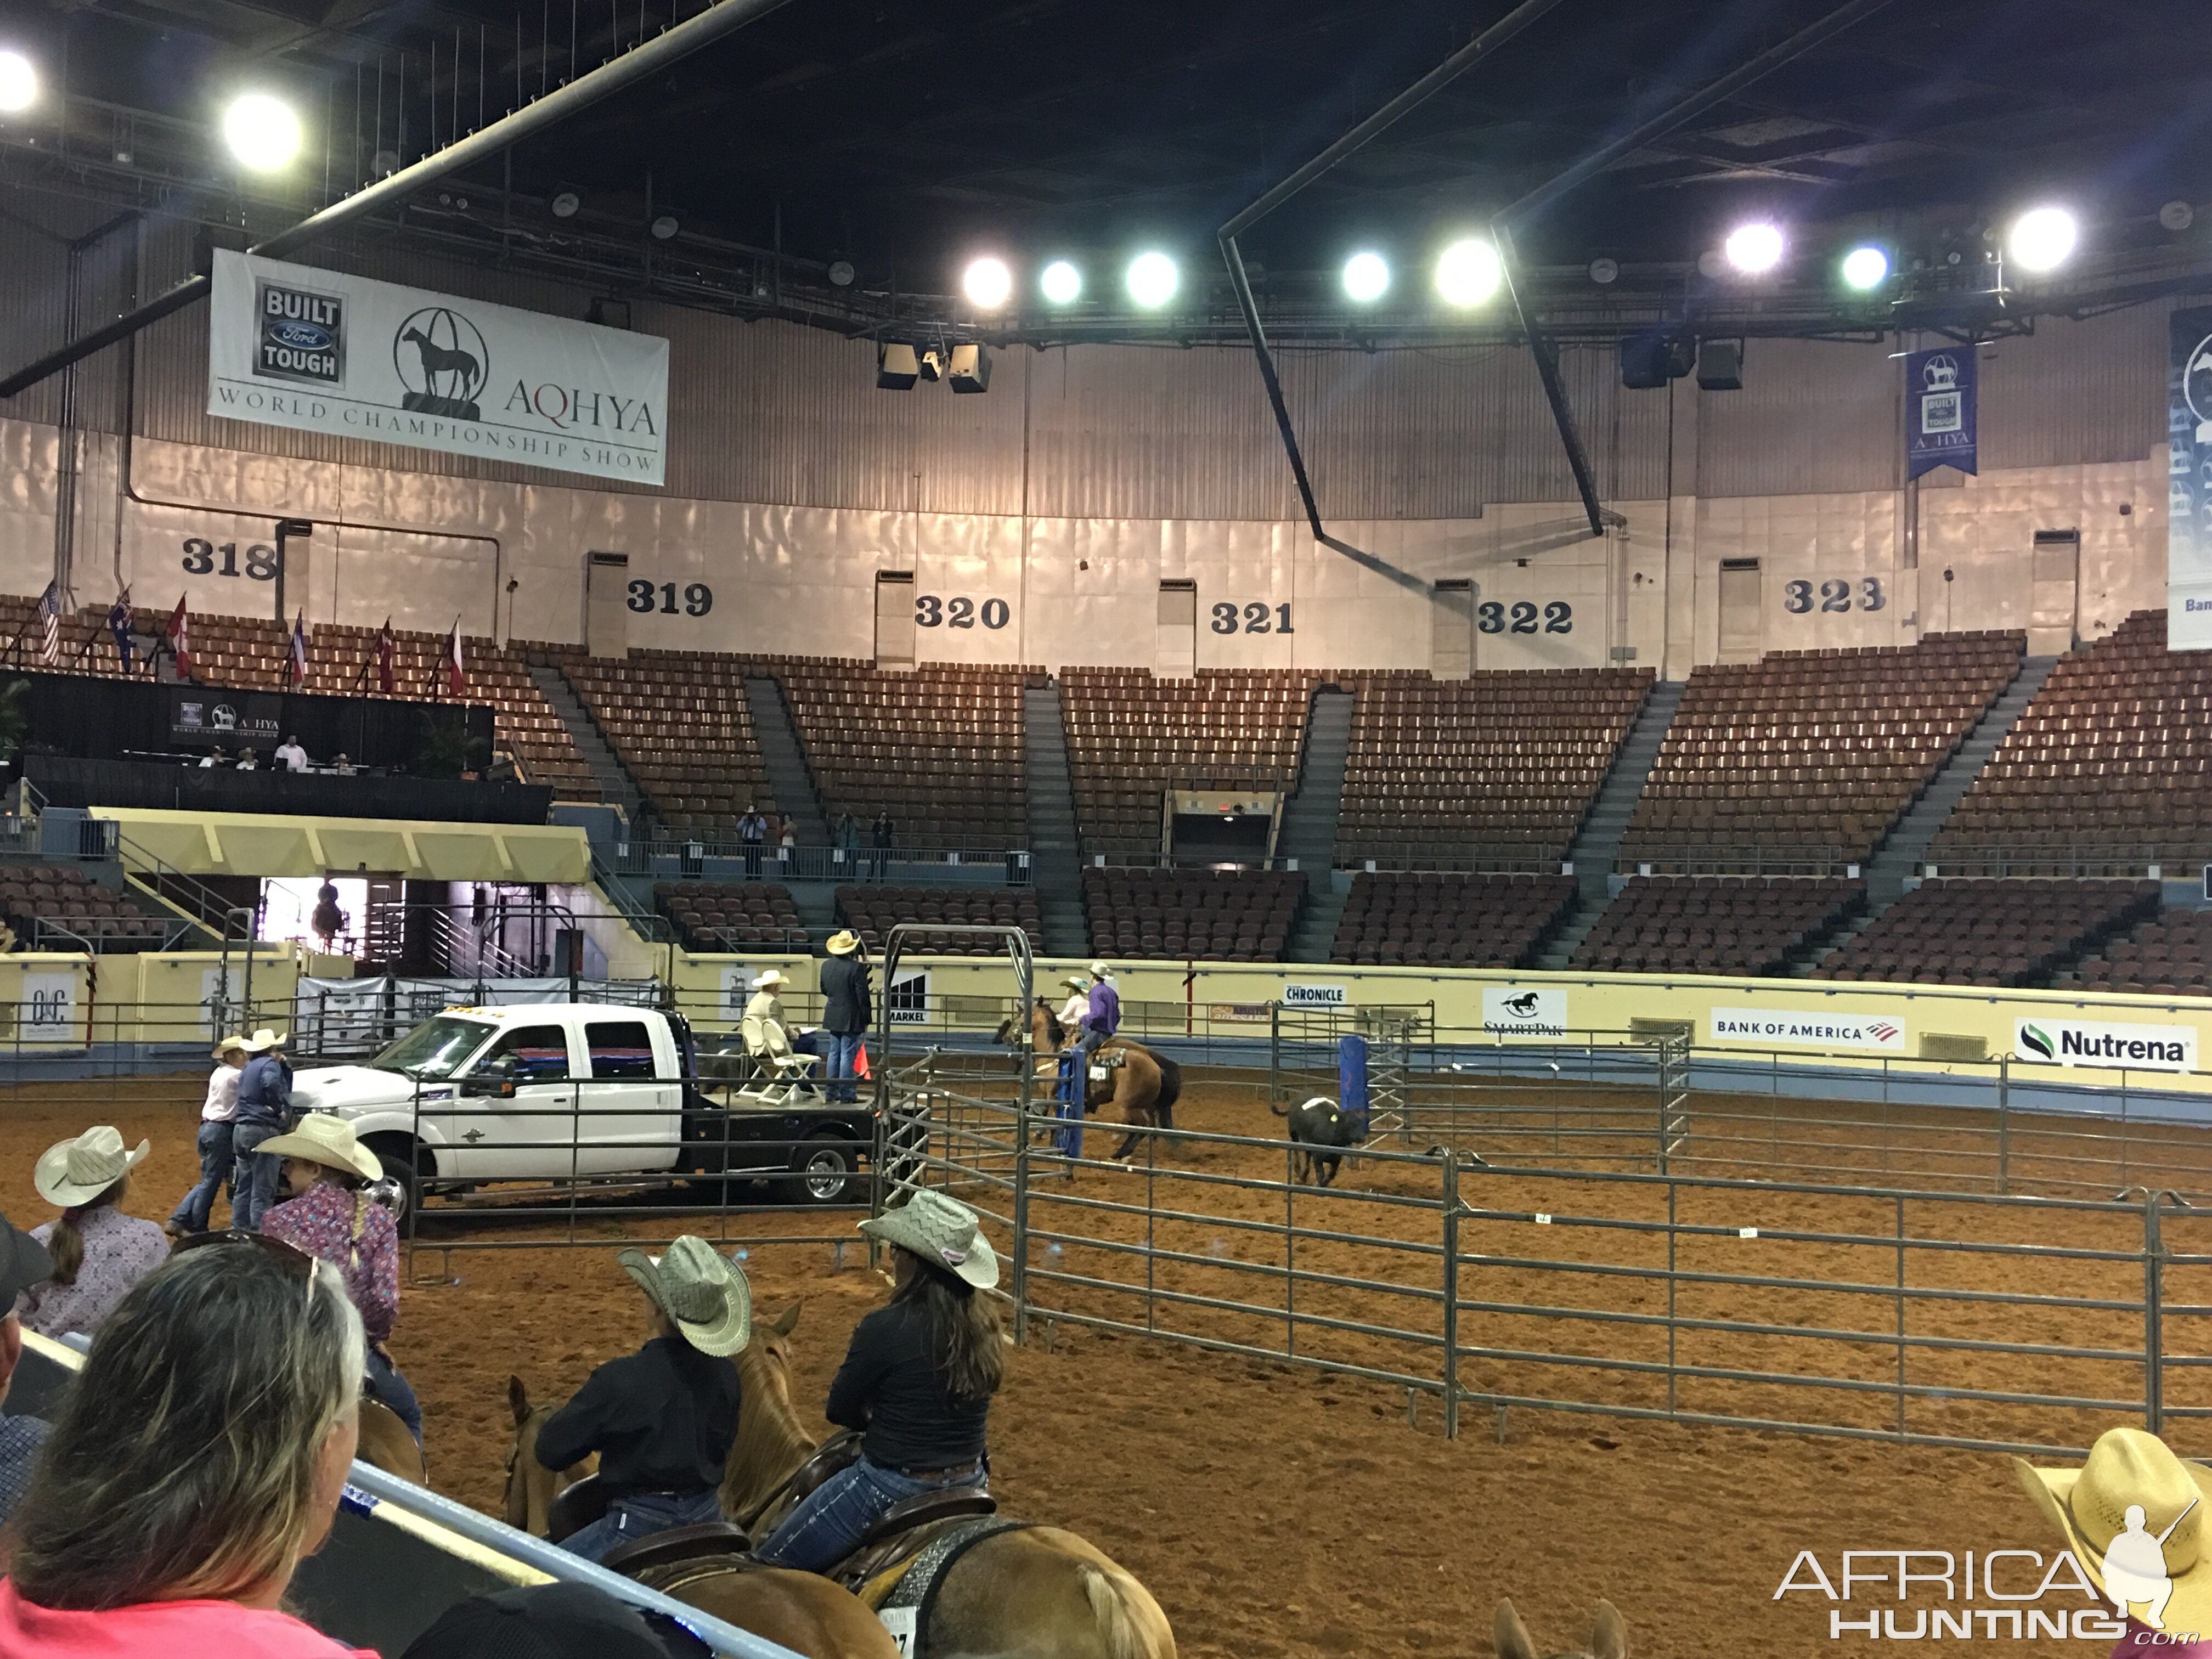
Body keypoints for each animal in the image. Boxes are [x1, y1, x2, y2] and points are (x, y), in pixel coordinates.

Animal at [1000, 1000, 1186, 1167]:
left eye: (1018, 1019)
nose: (1006, 1038)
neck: (1053, 1054)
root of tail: (1155, 1065)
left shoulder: (1053, 1096)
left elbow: (1052, 1121)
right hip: (1144, 1104)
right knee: (1147, 1128)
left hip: (1127, 1105)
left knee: (1140, 1128)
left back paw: (1118, 1153)